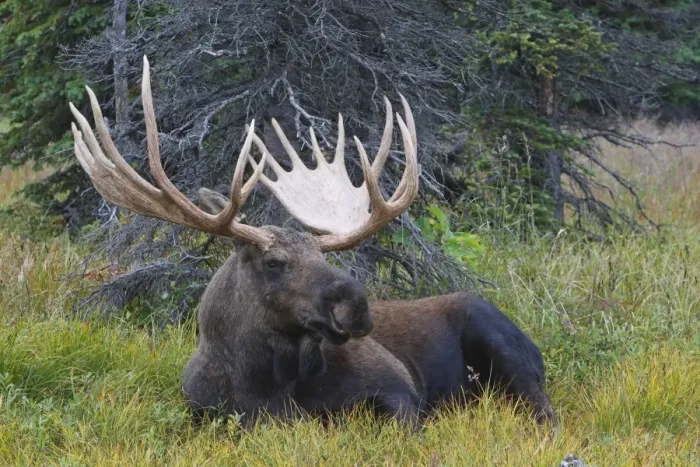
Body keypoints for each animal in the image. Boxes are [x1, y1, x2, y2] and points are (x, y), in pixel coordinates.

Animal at [69, 56, 556, 430]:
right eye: (273, 262)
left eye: (324, 253)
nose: (356, 304)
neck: (263, 386)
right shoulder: (201, 411)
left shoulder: (399, 386)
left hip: (506, 349)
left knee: (544, 414)